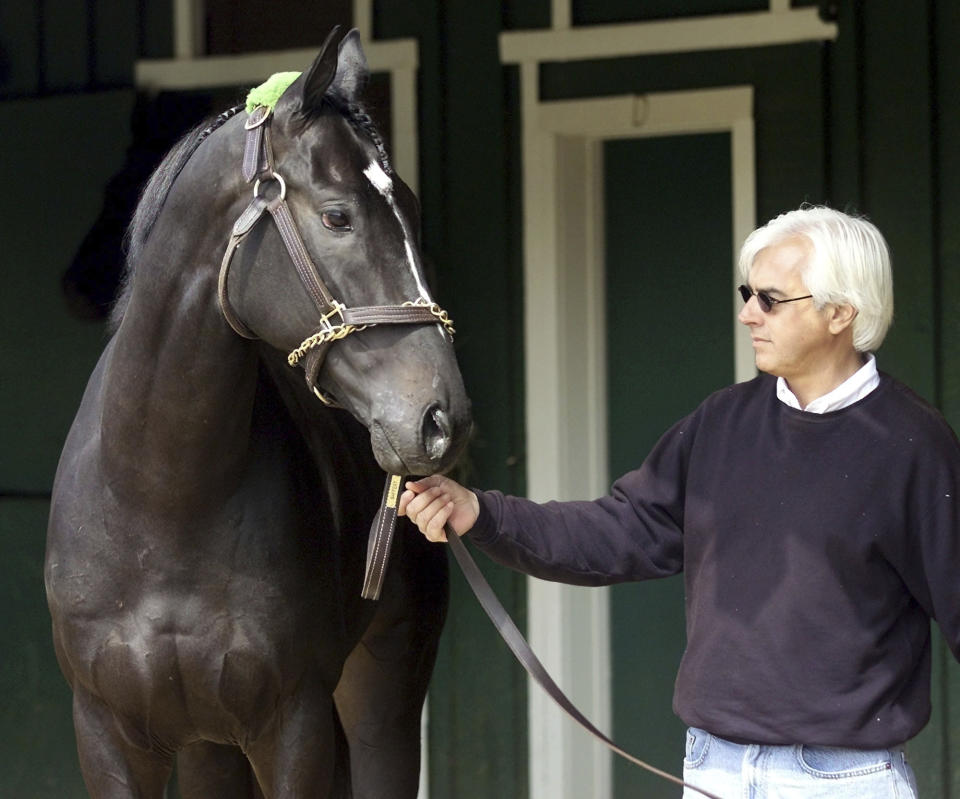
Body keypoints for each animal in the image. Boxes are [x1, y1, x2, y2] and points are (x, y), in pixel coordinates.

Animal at [45, 28, 472, 796]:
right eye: (337, 215)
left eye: (413, 212)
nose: (439, 418)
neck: (161, 497)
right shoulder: (107, 733)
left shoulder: (291, 724)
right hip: (208, 746)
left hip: (381, 697)